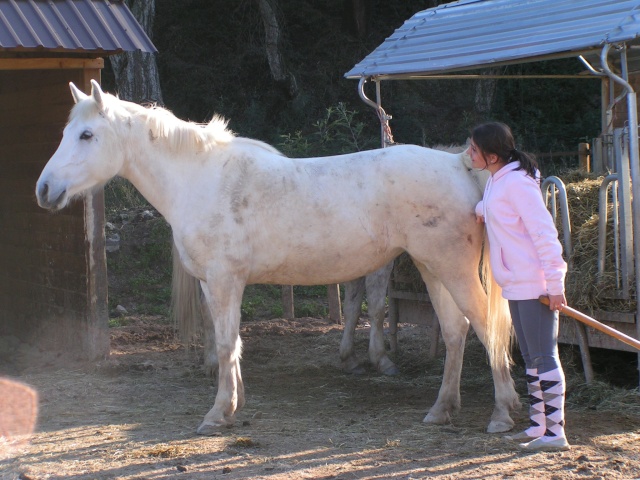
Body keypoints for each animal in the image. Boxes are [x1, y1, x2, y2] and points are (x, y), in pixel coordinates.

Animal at [36, 81, 520, 436]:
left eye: (86, 135)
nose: (44, 189)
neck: (201, 179)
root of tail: (456, 163)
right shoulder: (214, 284)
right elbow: (229, 341)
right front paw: (234, 404)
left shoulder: (225, 280)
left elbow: (226, 342)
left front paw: (217, 414)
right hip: (431, 268)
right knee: (456, 331)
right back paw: (442, 409)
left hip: (452, 269)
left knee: (485, 327)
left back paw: (501, 414)